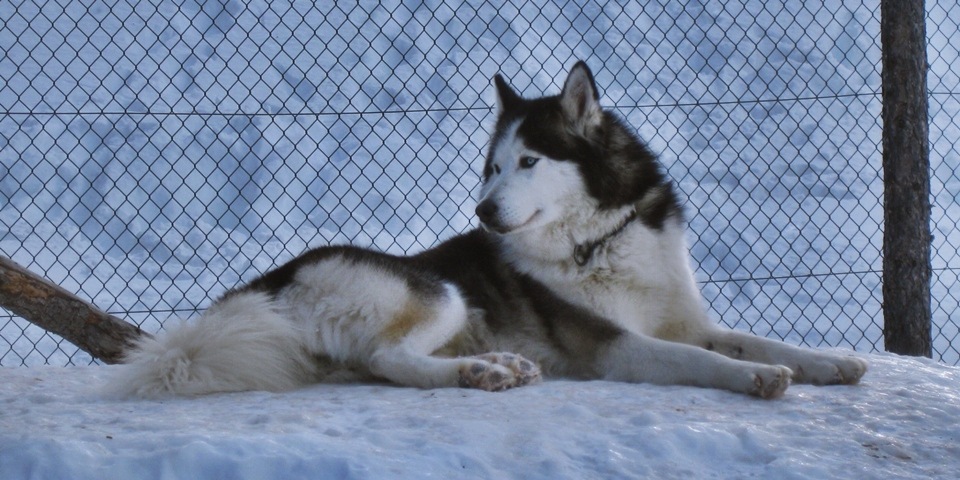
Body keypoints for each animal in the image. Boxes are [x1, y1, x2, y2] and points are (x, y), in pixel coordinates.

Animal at [110, 62, 864, 400]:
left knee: (382, 367)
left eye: (528, 162)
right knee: (393, 360)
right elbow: (701, 360)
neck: (602, 236)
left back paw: (494, 367)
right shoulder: (616, 346)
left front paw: (828, 360)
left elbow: (747, 336)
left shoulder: (684, 319)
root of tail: (266, 285)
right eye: (492, 167)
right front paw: (758, 376)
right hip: (437, 291)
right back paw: (482, 371)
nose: (482, 213)